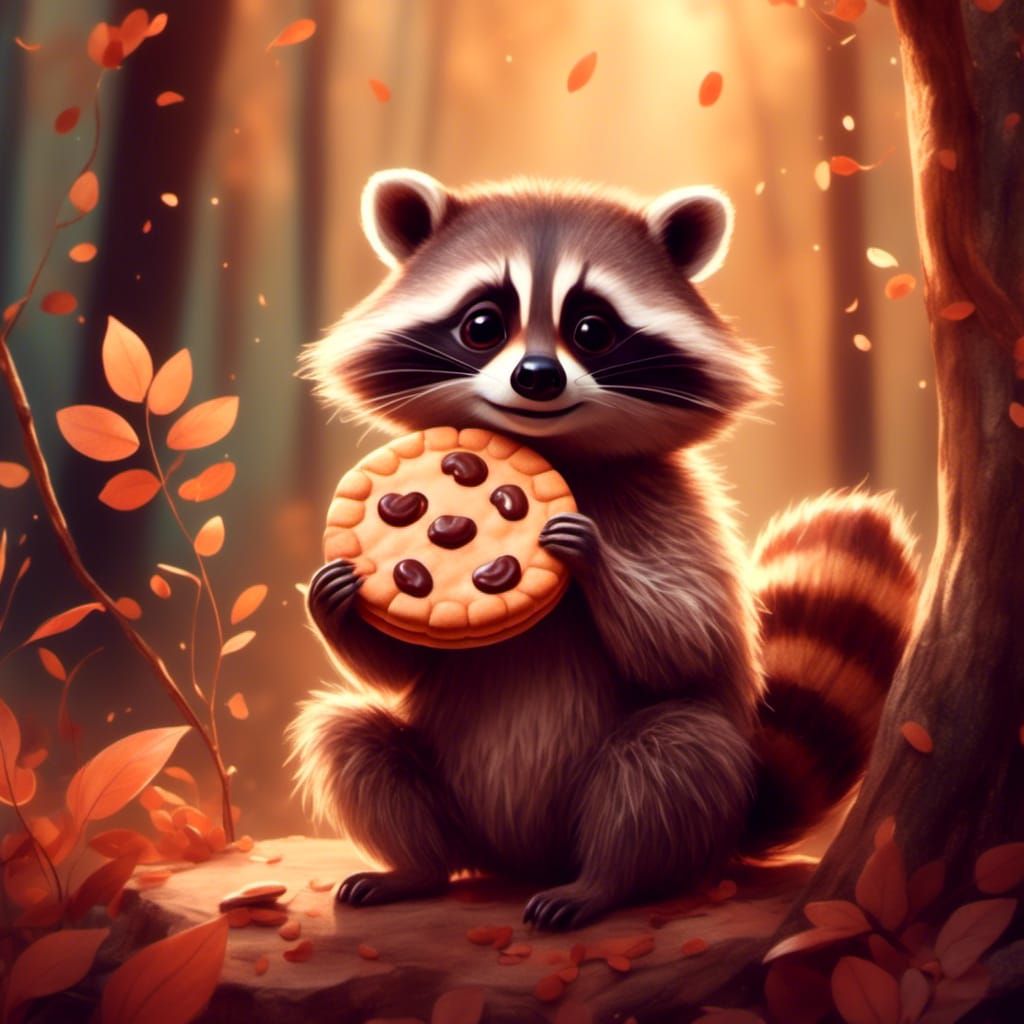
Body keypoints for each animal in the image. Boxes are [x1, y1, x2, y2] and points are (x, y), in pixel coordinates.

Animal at [288, 170, 919, 930]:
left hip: (678, 796)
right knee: (350, 739)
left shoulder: (673, 501)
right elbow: (402, 669)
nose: (536, 376)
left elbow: (691, 639)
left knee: (671, 756)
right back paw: (417, 868)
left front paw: (591, 557)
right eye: (481, 325)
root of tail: (517, 861)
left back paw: (604, 883)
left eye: (591, 330)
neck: (551, 449)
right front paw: (333, 600)